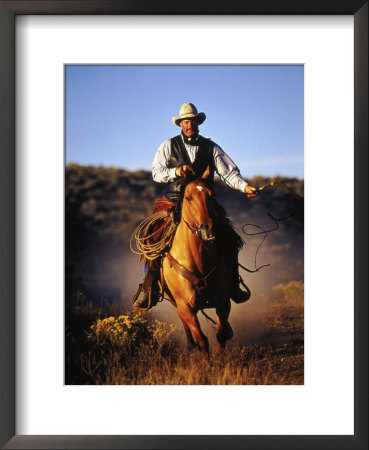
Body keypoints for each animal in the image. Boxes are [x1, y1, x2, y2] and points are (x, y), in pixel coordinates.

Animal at [160, 172, 234, 352]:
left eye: (212, 195)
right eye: (188, 198)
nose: (208, 229)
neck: (198, 260)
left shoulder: (223, 301)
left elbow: (221, 335)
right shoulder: (185, 306)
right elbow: (202, 341)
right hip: (176, 303)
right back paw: (190, 345)